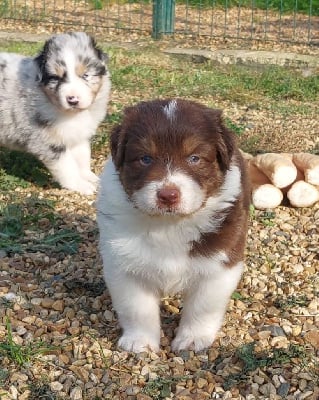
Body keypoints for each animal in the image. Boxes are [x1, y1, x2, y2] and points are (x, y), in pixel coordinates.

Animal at [96, 100, 251, 354]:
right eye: (145, 159)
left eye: (194, 158)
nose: (168, 195)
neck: (169, 224)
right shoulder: (124, 264)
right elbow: (137, 308)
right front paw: (140, 342)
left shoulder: (220, 264)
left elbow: (202, 307)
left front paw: (192, 340)